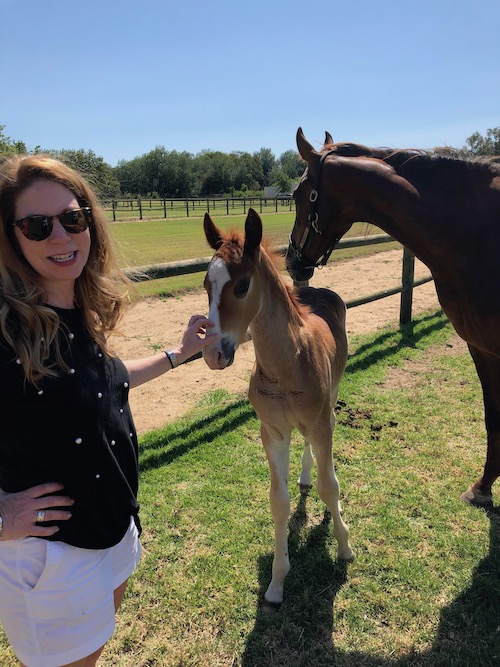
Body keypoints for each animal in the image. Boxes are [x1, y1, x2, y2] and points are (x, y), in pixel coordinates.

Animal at [202, 210, 352, 612]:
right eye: (206, 284)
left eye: (242, 286)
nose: (213, 354)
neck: (287, 365)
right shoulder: (272, 431)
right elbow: (279, 502)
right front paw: (276, 584)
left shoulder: (319, 424)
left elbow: (330, 487)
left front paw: (344, 545)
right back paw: (304, 475)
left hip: (330, 402)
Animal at [288, 128, 500, 508]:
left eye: (299, 194)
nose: (291, 259)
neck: (472, 233)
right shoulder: (482, 347)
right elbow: (493, 417)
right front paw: (483, 487)